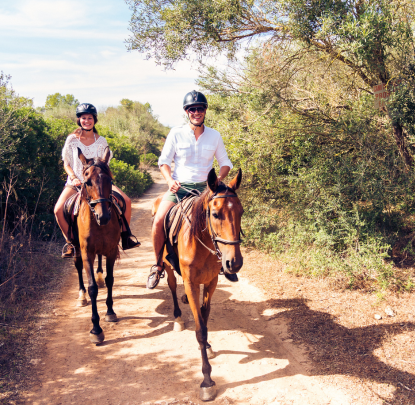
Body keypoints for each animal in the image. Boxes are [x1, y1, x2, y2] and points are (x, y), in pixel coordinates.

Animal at [154, 168, 244, 400]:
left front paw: (208, 346)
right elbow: (200, 329)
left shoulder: (211, 282)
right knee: (171, 286)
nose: (234, 263)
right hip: (167, 266)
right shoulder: (192, 283)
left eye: (241, 212)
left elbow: (204, 317)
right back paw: (177, 317)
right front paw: (207, 381)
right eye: (215, 214)